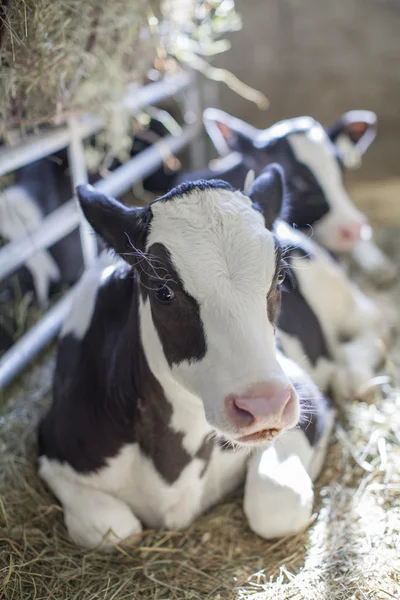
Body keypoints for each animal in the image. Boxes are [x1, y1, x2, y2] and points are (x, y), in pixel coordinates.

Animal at [37, 168, 332, 548]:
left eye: (279, 276)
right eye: (163, 290)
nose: (264, 405)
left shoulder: (304, 394)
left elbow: (276, 503)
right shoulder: (53, 449)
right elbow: (115, 528)